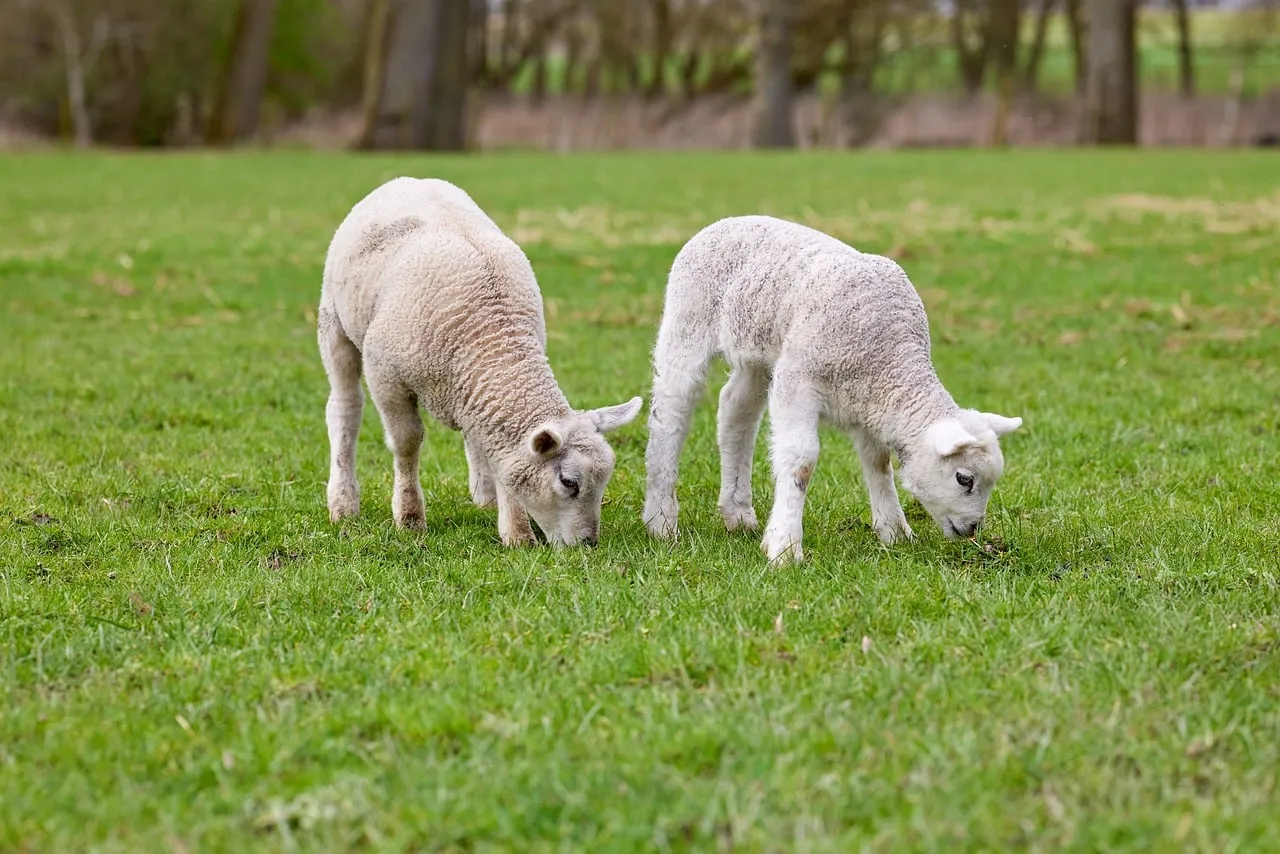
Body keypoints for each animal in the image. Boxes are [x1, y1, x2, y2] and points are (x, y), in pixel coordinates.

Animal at [319, 177, 642, 547]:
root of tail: (408, 179)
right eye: (568, 482)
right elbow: (407, 443)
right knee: (345, 408)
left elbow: (498, 452)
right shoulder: (386, 376)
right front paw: (410, 517)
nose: (588, 544)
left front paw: (516, 533)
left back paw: (485, 497)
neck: (492, 335)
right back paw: (343, 502)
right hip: (334, 321)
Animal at [643, 215, 1022, 563]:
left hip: (758, 351)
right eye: (964, 479)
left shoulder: (869, 401)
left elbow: (878, 461)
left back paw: (737, 512)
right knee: (671, 411)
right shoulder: (797, 383)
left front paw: (894, 531)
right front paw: (785, 547)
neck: (888, 362)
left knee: (736, 411)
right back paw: (660, 520)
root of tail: (727, 221)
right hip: (688, 321)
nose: (972, 529)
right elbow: (801, 462)